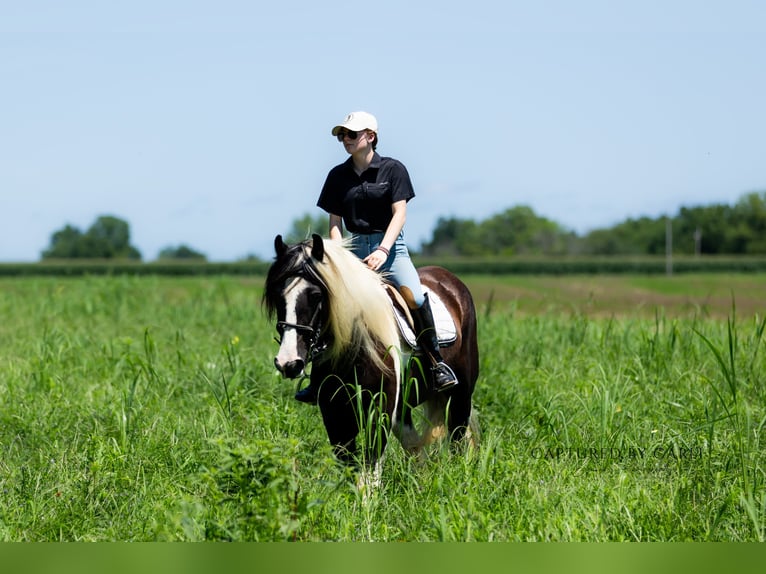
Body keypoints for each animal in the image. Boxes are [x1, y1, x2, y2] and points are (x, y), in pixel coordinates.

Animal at [263, 234, 479, 473]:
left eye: (316, 295)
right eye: (278, 295)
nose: (288, 363)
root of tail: (448, 278)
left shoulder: (380, 409)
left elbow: (371, 466)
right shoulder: (335, 413)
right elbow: (347, 463)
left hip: (460, 395)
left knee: (457, 439)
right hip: (404, 408)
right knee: (414, 444)